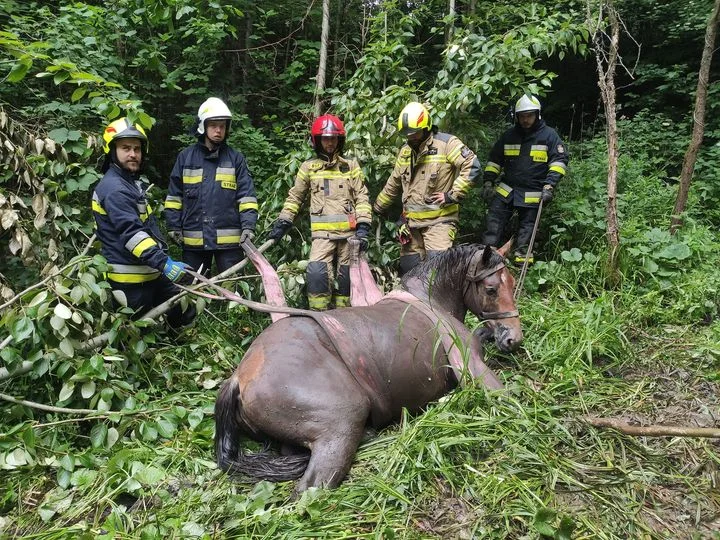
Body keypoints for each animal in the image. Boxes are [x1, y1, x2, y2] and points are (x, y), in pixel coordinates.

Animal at [214, 243, 524, 496]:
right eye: (491, 289)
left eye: (511, 282)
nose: (514, 338)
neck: (431, 301)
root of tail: (238, 378)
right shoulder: (474, 368)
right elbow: (510, 399)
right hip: (342, 424)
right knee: (309, 491)